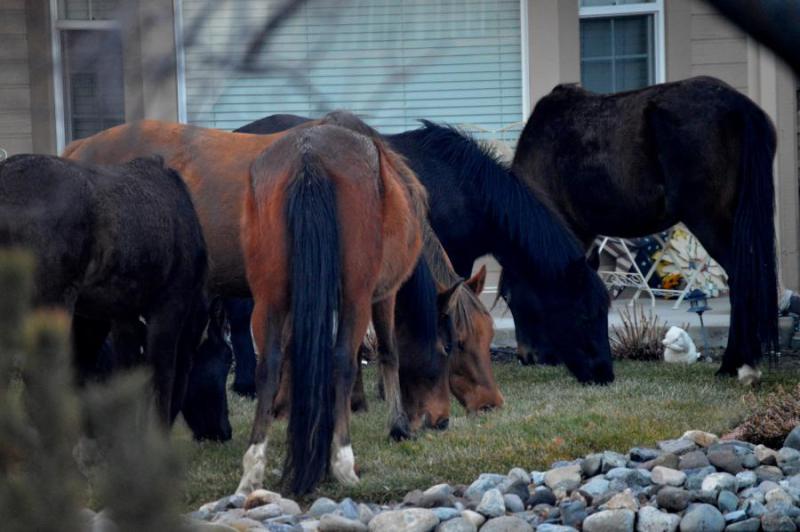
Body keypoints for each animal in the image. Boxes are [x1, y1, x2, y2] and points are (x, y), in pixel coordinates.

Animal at [240, 123, 426, 495]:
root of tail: (309, 157)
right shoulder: (384, 295)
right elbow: (389, 353)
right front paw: (398, 426)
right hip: (357, 297)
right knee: (342, 360)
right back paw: (342, 461)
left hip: (269, 298)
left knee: (268, 365)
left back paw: (254, 468)